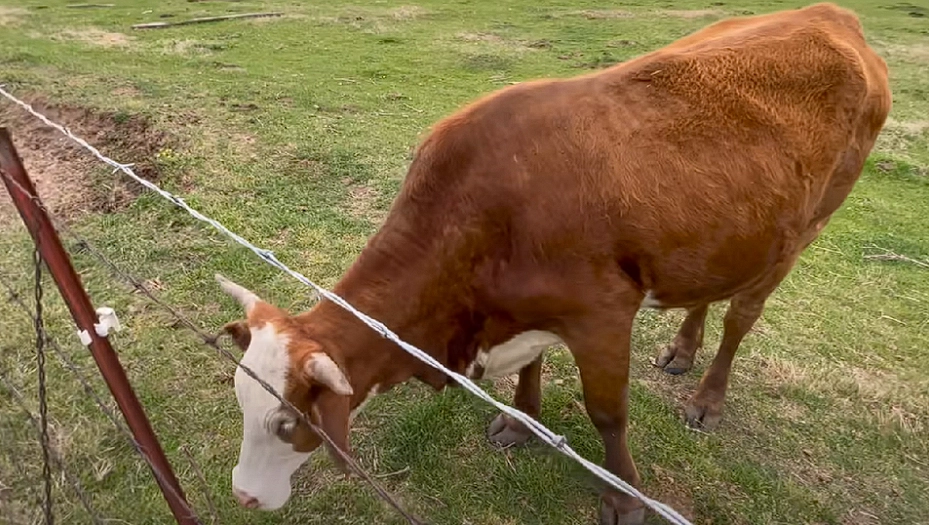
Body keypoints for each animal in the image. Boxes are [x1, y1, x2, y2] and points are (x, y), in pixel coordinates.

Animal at [215, 3, 891, 524]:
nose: (243, 494)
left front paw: (624, 497)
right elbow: (531, 367)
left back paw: (708, 398)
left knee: (742, 316)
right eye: (241, 400)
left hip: (808, 225)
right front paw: (522, 423)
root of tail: (831, 15)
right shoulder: (525, 311)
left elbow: (608, 414)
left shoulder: (602, 315)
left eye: (286, 422)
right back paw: (682, 348)